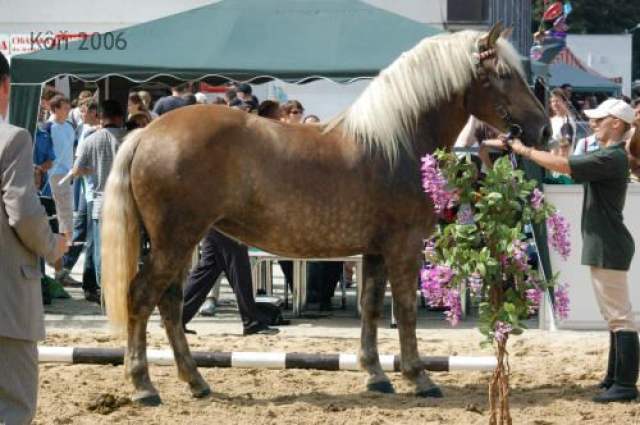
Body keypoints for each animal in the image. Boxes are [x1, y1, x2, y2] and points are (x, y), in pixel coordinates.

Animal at [101, 23, 549, 405]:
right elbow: (405, 310)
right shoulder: (403, 246)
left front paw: (376, 375)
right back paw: (143, 386)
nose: (543, 129)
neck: (397, 140)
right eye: (504, 74)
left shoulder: (375, 251)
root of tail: (148, 132)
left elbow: (371, 306)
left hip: (180, 243)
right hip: (175, 241)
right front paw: (419, 377)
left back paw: (195, 381)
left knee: (170, 304)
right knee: (142, 298)